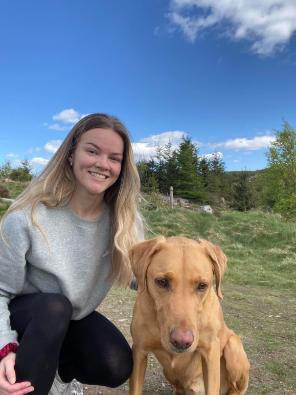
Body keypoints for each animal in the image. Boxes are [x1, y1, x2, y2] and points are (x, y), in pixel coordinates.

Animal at [130, 237, 250, 394]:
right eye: (162, 282)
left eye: (202, 285)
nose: (182, 341)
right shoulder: (139, 352)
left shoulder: (210, 353)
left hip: (233, 347)